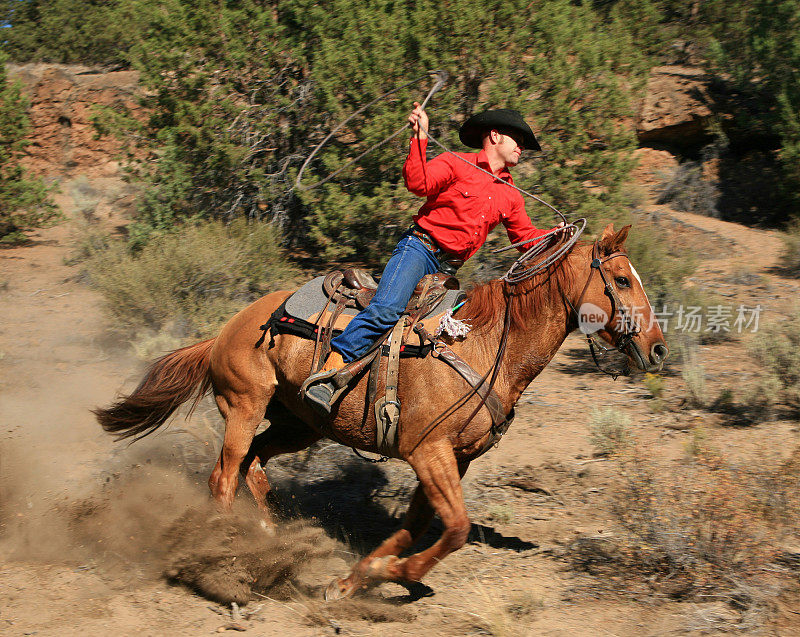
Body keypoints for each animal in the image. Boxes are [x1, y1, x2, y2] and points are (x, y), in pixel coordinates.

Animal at [94, 224, 668, 596]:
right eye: (621, 281)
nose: (659, 348)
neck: (484, 346)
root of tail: (226, 329)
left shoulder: (453, 460)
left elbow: (417, 525)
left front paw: (354, 579)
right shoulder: (429, 453)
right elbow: (455, 529)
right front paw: (395, 576)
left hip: (301, 422)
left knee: (252, 467)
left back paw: (268, 542)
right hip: (243, 405)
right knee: (224, 474)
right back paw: (225, 556)